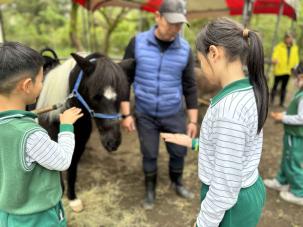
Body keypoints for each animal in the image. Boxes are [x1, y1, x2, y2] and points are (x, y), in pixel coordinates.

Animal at [36, 52, 134, 212]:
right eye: (95, 96)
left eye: (120, 96)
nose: (113, 142)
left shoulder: (79, 146)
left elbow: (72, 171)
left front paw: (73, 199)